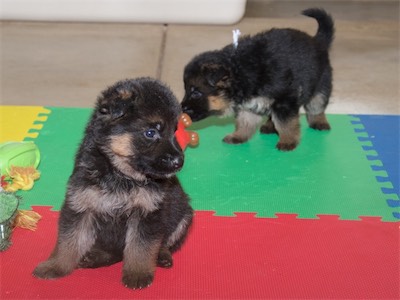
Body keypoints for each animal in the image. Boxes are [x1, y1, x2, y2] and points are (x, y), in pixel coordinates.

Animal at [33, 78, 193, 290]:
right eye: (150, 133)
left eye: (175, 131)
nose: (179, 162)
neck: (120, 173)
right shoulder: (80, 206)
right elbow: (68, 242)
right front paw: (55, 266)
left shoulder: (148, 213)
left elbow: (141, 248)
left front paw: (138, 274)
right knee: (115, 253)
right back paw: (96, 257)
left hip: (185, 215)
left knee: (163, 243)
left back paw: (162, 255)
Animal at [181, 8, 334, 151]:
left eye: (196, 93)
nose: (182, 108)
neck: (240, 72)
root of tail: (317, 41)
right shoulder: (249, 105)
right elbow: (245, 122)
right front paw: (238, 136)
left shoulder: (284, 100)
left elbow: (285, 123)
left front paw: (288, 141)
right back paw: (269, 126)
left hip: (321, 85)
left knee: (316, 106)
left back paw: (319, 122)